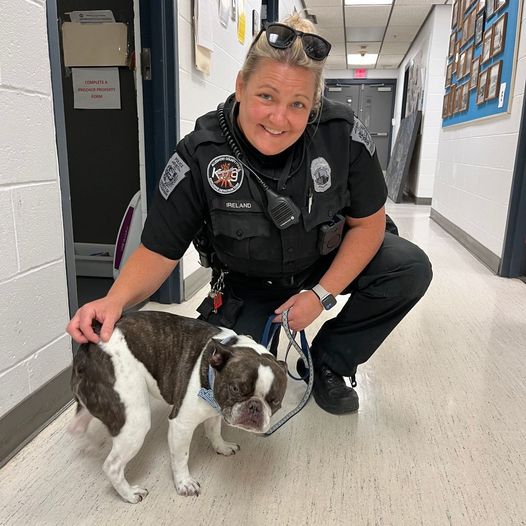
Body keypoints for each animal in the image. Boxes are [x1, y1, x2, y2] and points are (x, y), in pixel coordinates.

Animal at [69, 312, 288, 506]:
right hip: (135, 421)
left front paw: (222, 447)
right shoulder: (182, 425)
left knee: (81, 423)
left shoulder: (215, 411)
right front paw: (184, 483)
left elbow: (214, 431)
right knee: (112, 466)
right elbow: (182, 456)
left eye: (275, 401)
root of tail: (90, 346)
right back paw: (129, 494)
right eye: (235, 389)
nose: (255, 406)